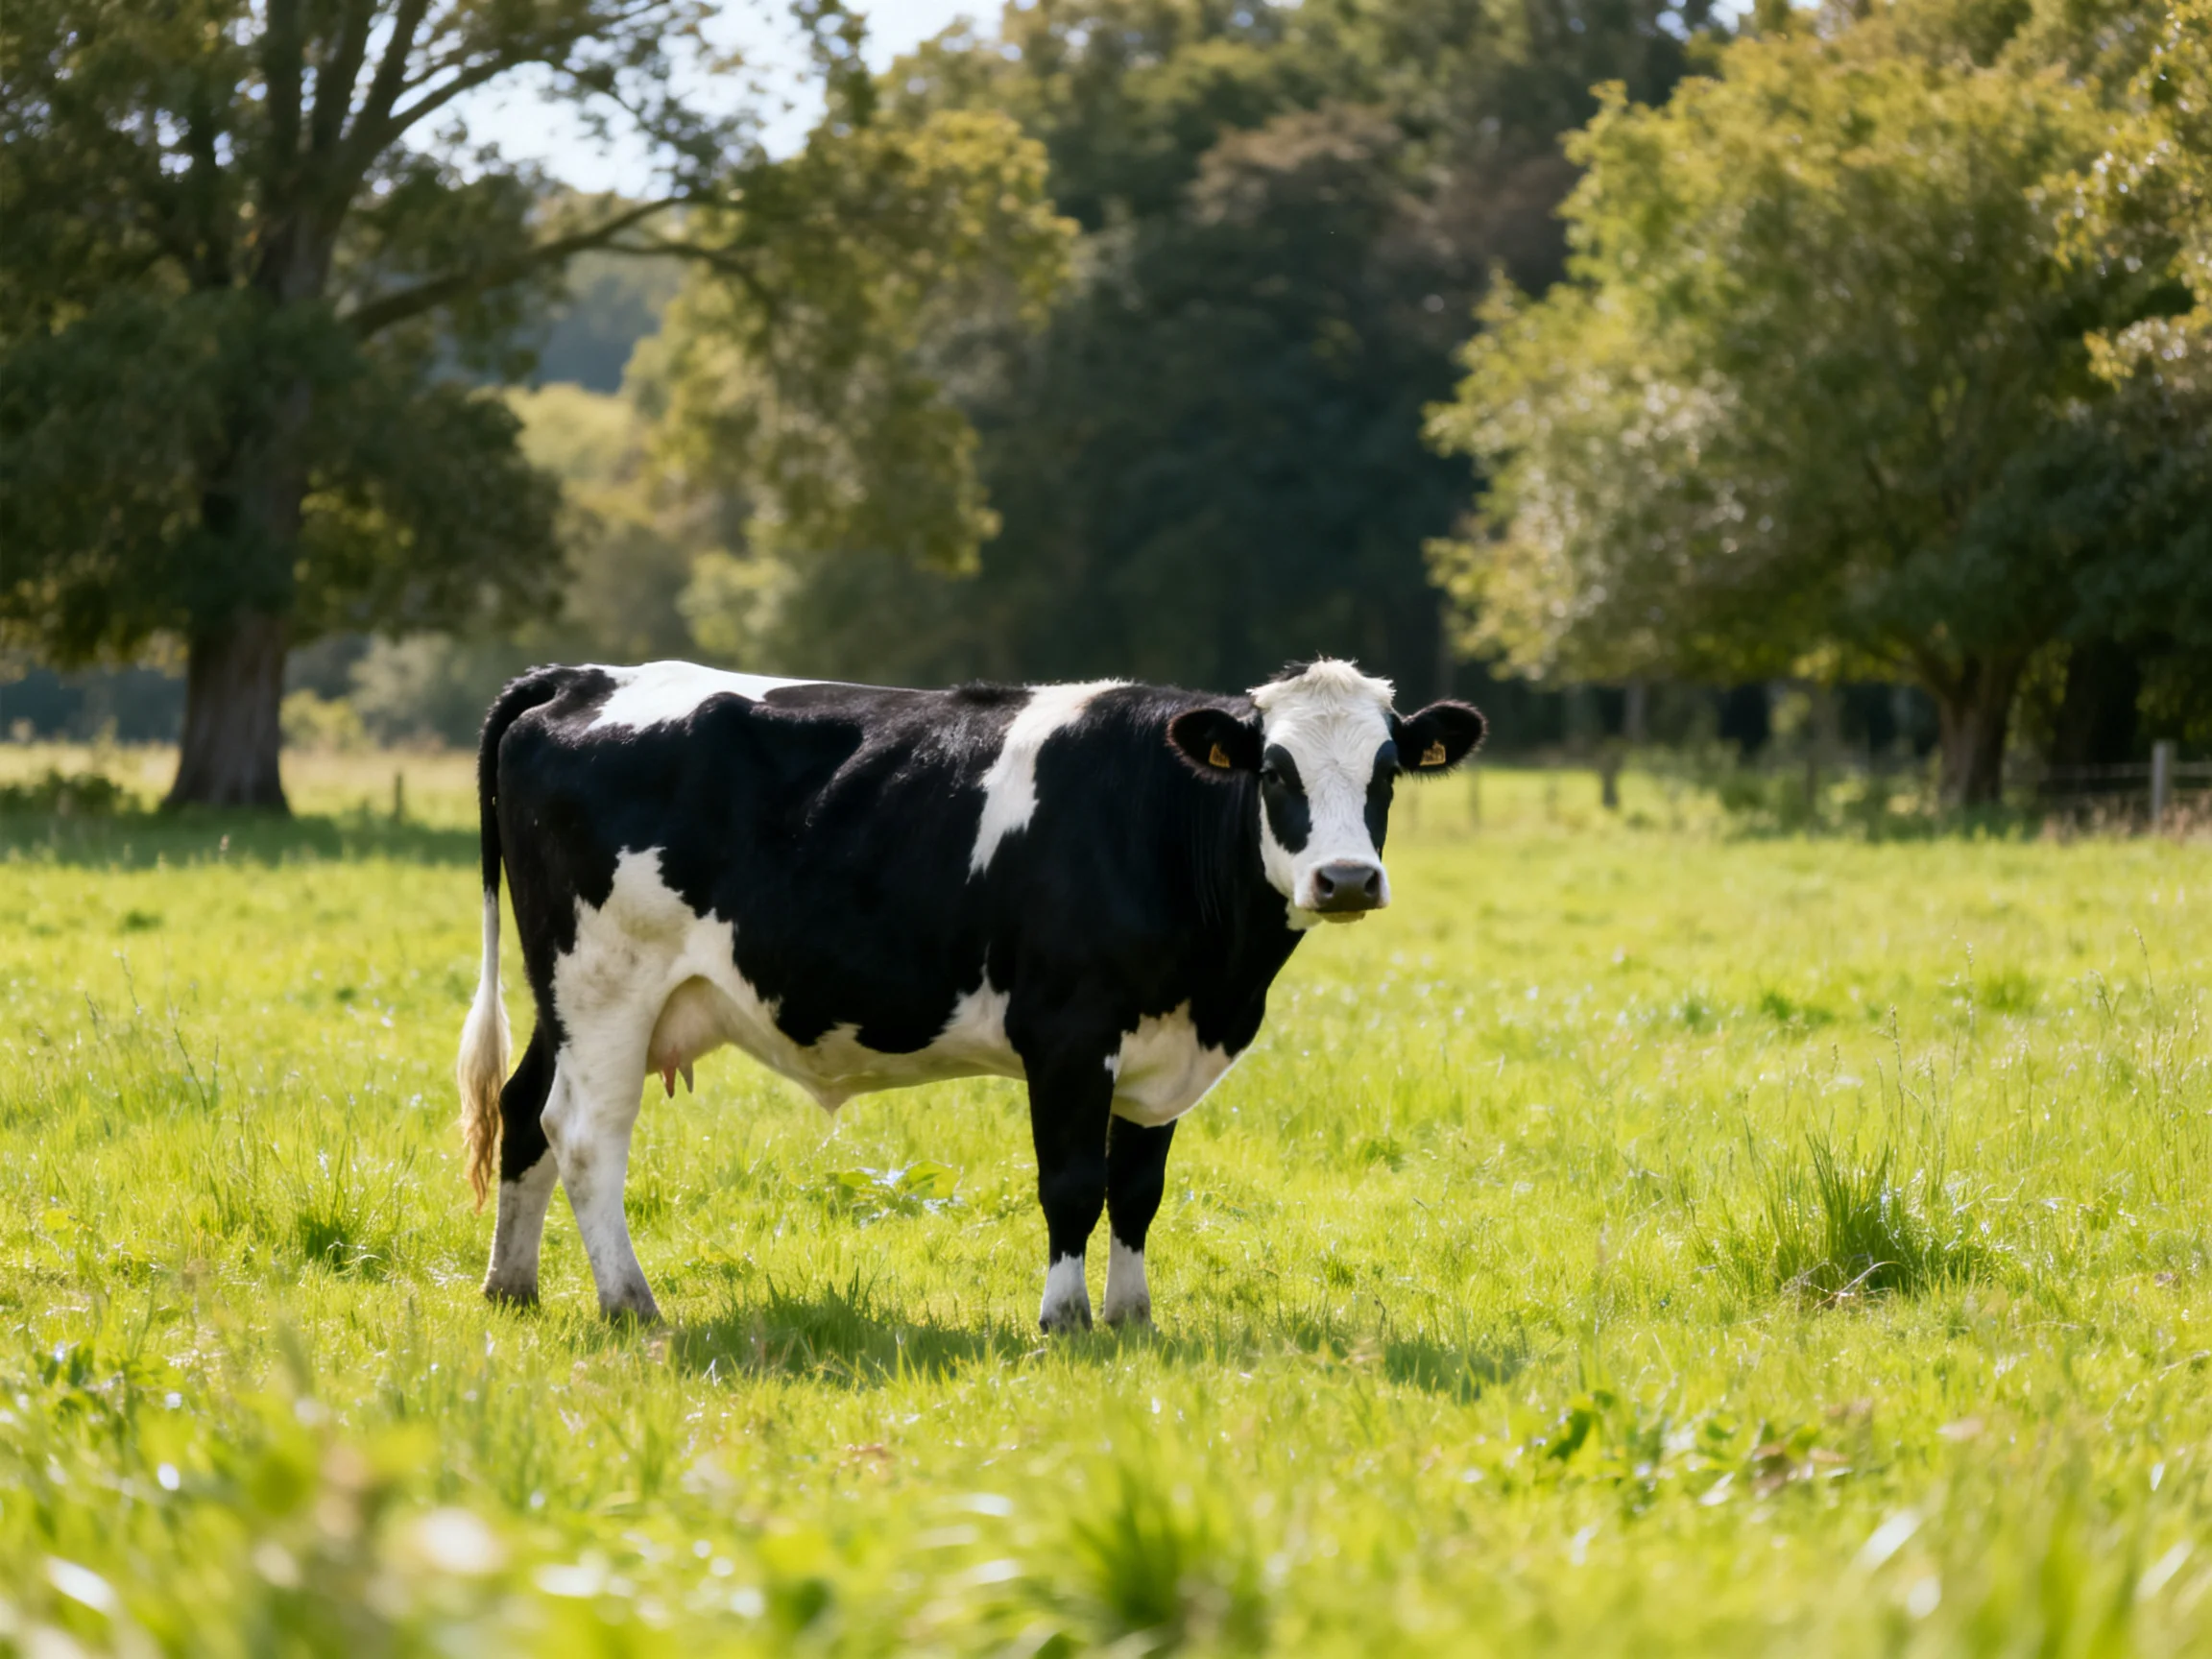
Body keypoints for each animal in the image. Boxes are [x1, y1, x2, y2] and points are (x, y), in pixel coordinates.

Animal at [455, 658, 1484, 1329]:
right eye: (1274, 772)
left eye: (1388, 772)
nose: (1345, 880)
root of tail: (582, 677)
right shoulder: (1068, 1031)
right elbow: (1071, 1184)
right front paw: (1065, 1321)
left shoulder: (1162, 1050)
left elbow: (1137, 1189)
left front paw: (1135, 1320)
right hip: (607, 982)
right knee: (585, 1135)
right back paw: (631, 1304)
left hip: (568, 995)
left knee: (524, 1110)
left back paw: (512, 1286)